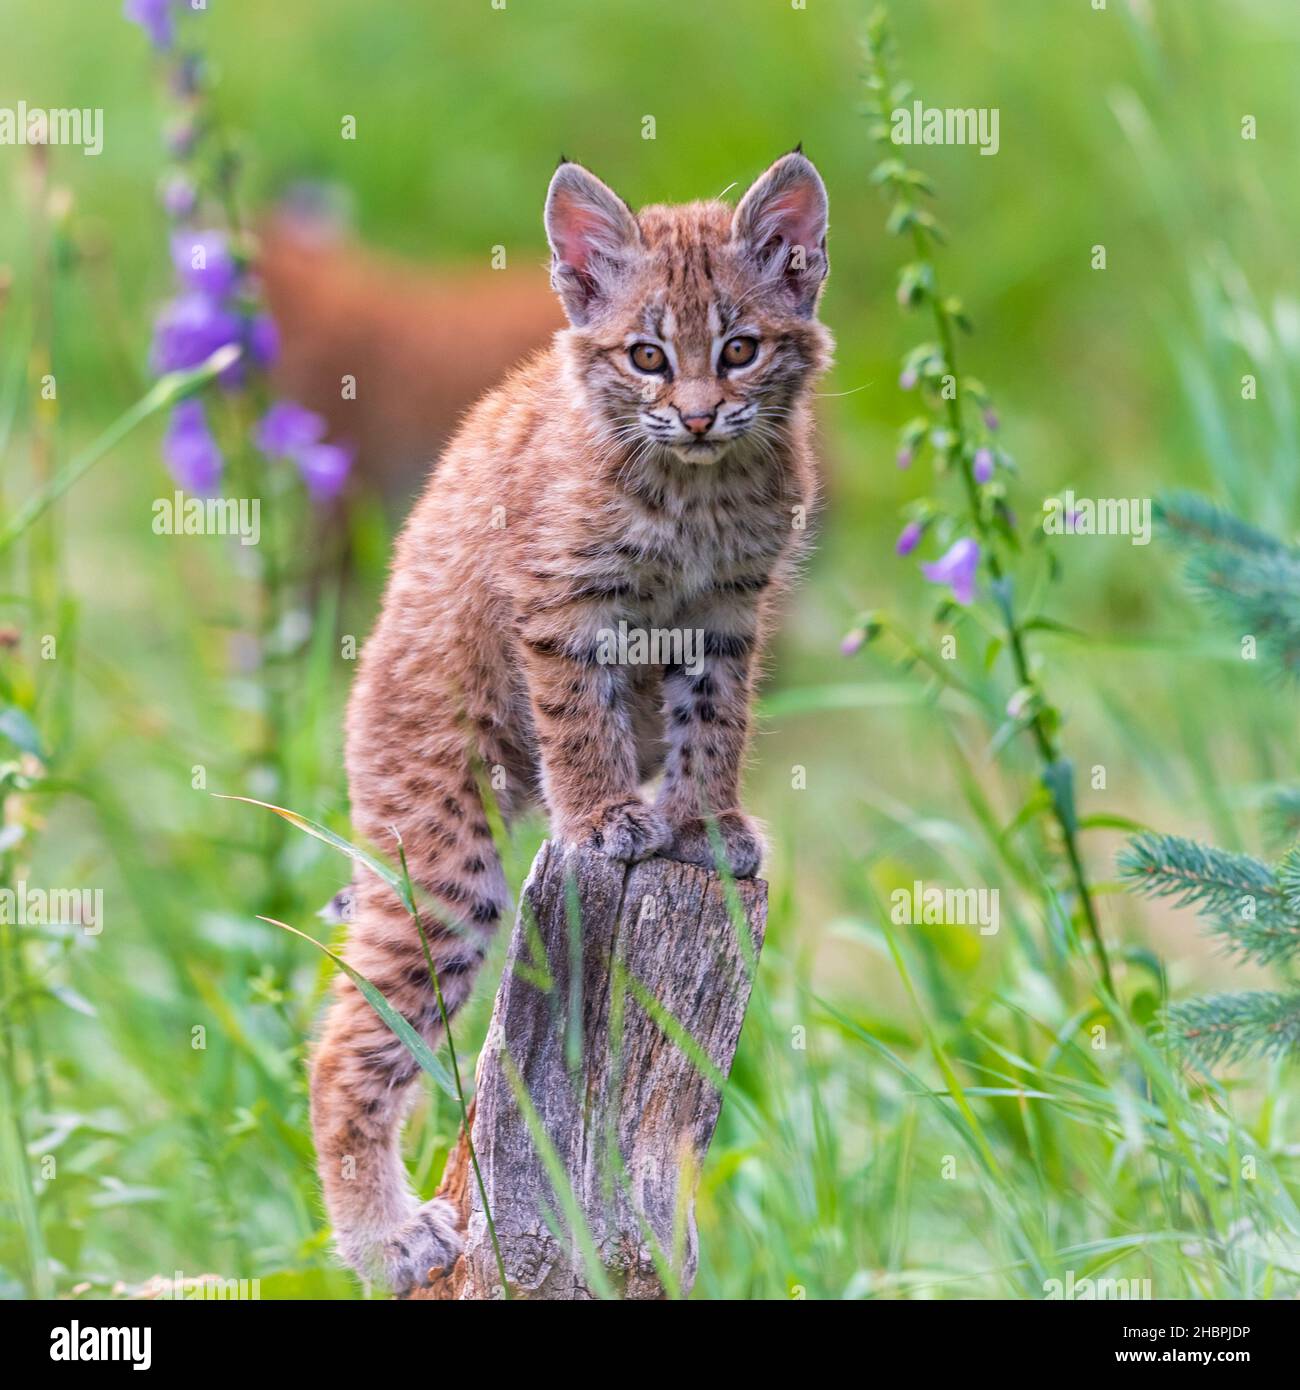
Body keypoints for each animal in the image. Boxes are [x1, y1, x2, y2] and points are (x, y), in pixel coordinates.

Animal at [310, 152, 828, 1289]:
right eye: (646, 356)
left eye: (740, 350)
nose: (696, 415)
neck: (694, 485)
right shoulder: (562, 601)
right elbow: (579, 716)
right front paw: (599, 817)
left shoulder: (727, 609)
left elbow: (715, 721)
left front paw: (703, 822)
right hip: (443, 864)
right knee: (338, 1050)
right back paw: (385, 1242)